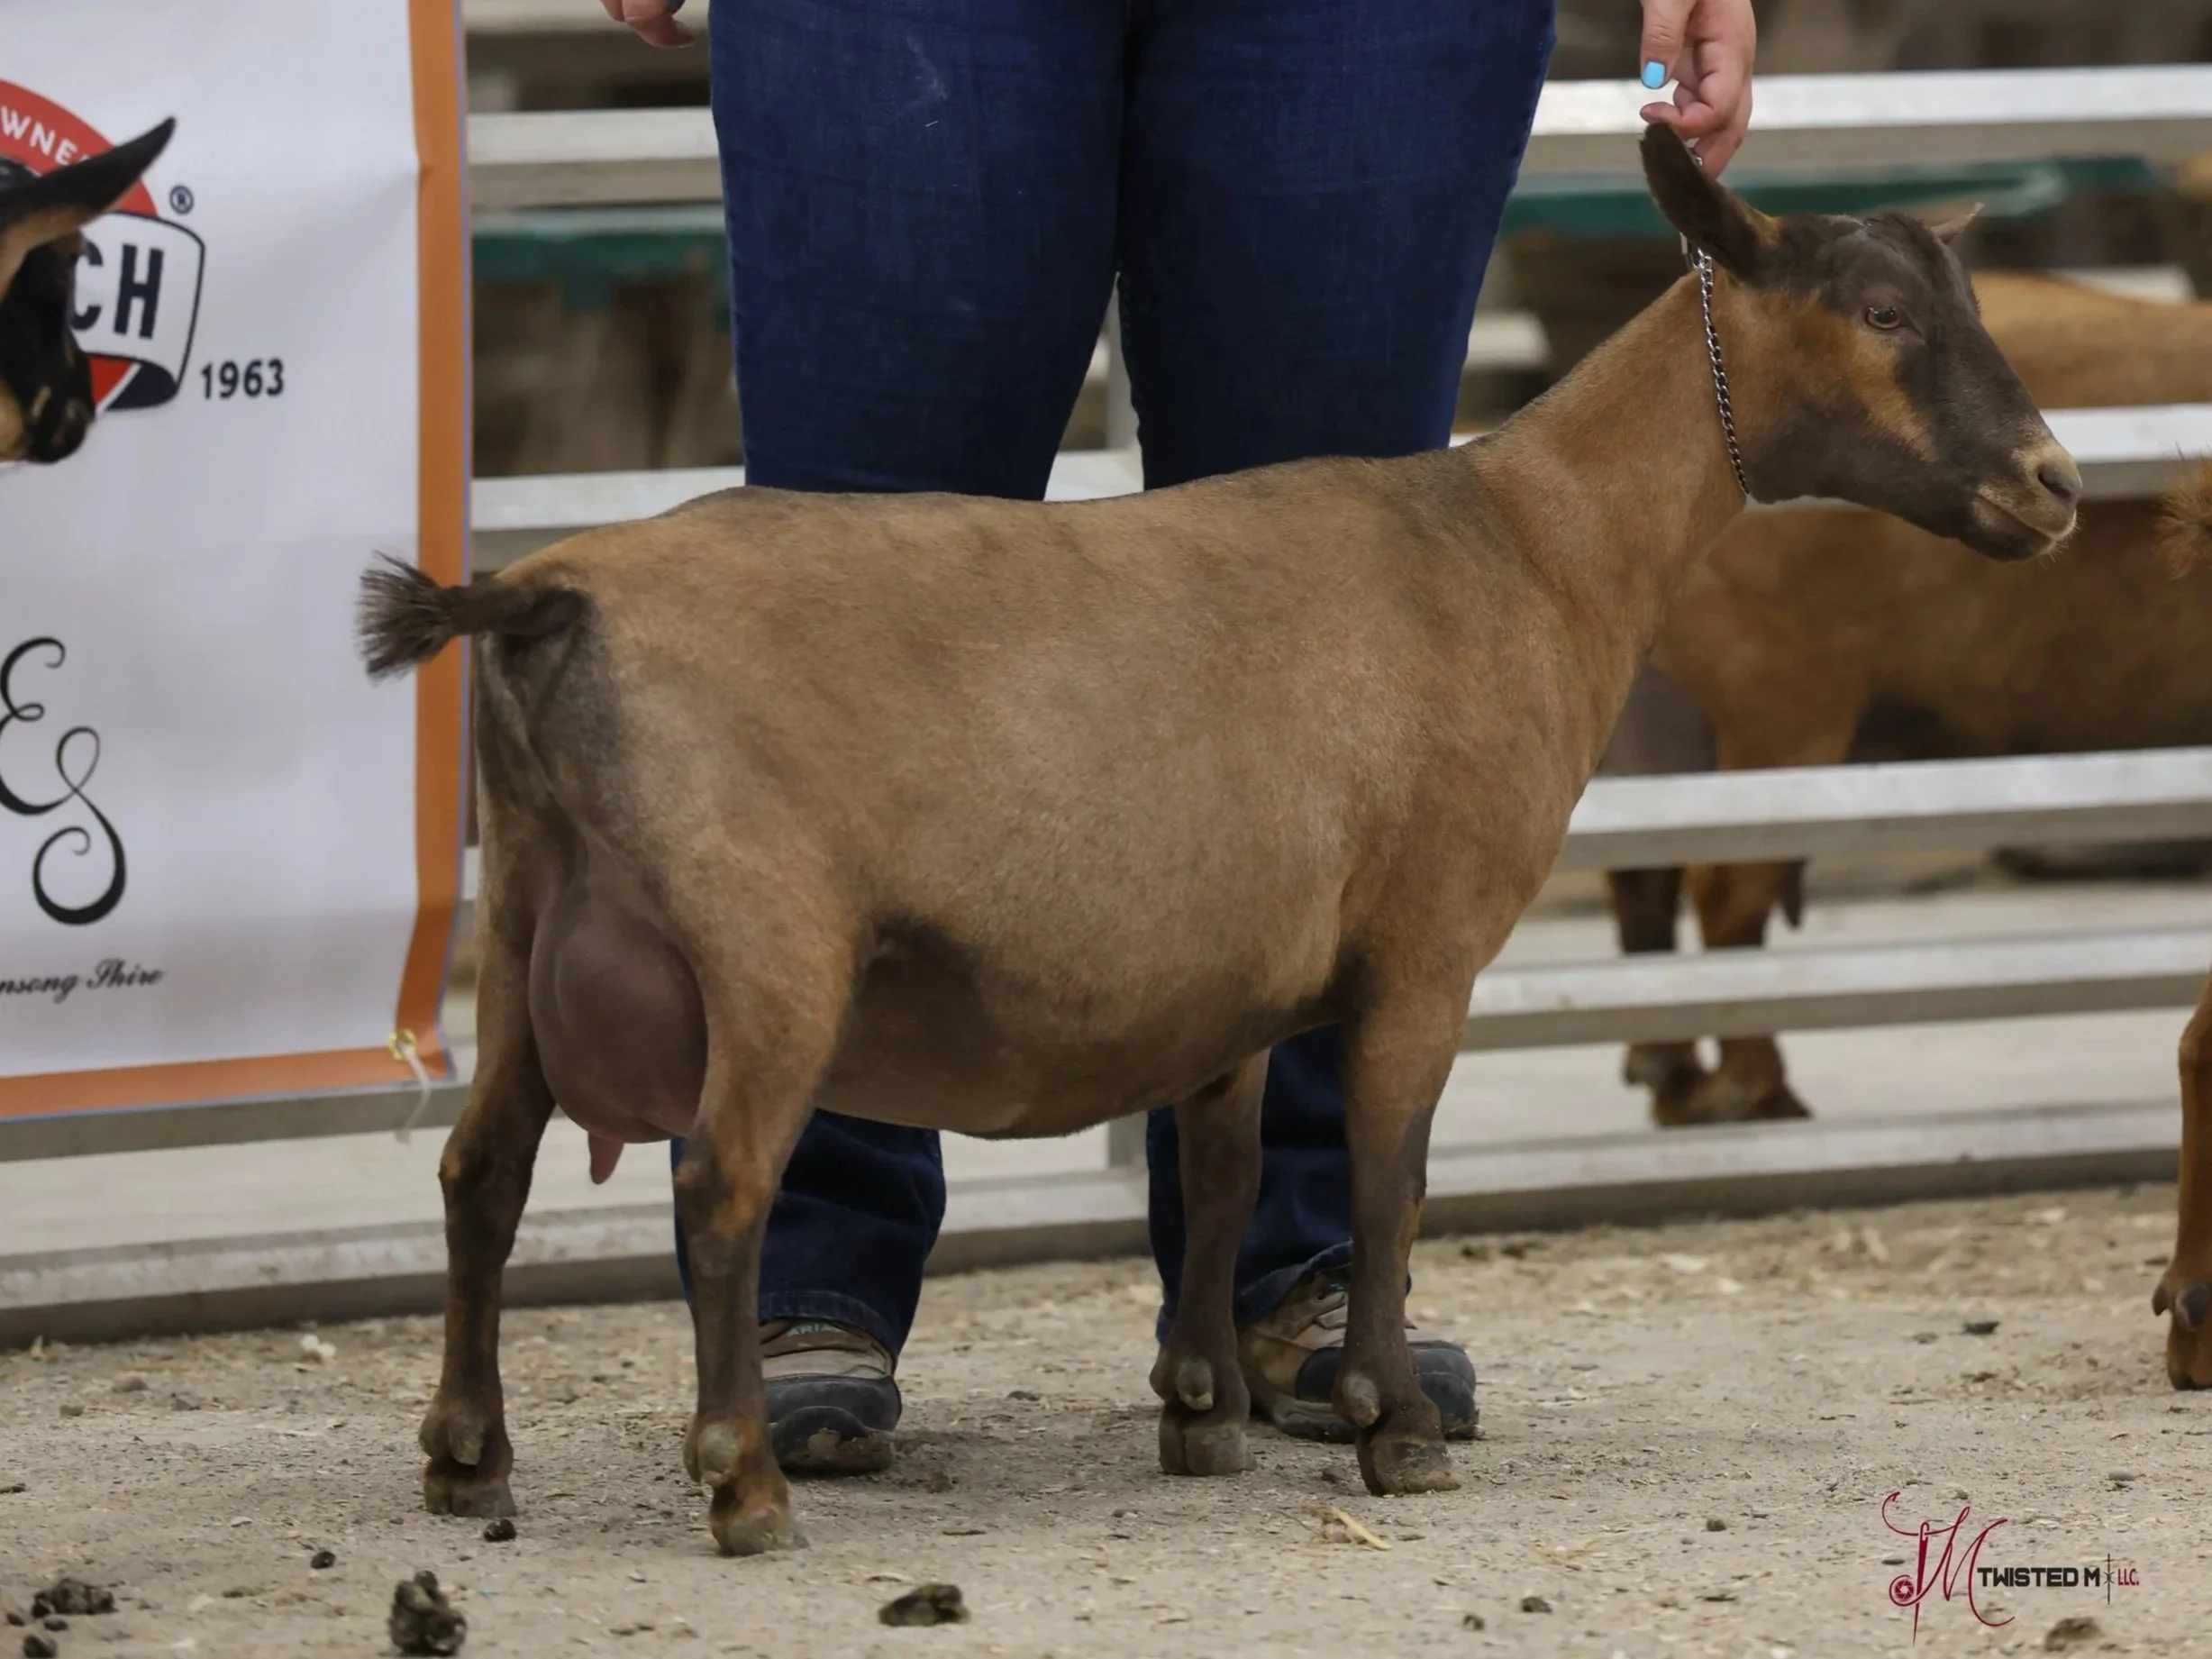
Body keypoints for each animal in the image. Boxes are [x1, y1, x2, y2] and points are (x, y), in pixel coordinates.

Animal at [1600, 272, 2212, 1125]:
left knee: (1643, 871)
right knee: (1724, 879)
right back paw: (1758, 1094)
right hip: (1778, 702)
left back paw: (1677, 1084)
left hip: (1659, 716)